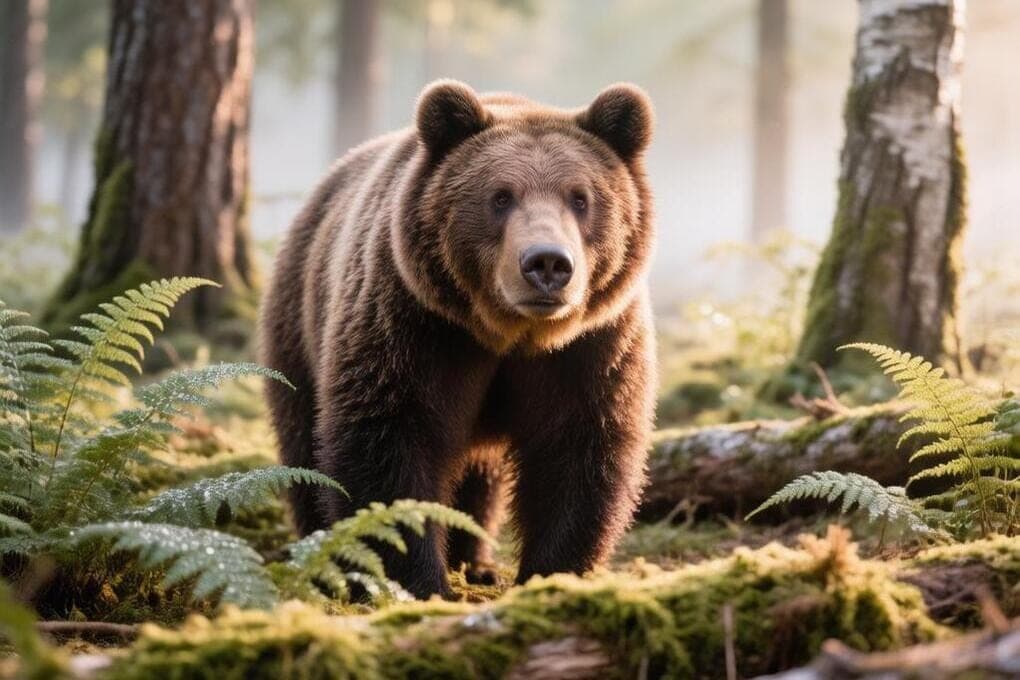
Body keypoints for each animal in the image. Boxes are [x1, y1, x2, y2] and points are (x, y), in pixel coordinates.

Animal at [259, 79, 656, 599]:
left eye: (580, 198)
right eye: (501, 196)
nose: (547, 263)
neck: (509, 335)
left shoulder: (592, 346)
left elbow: (580, 450)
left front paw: (549, 572)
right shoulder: (415, 326)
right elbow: (388, 444)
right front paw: (420, 583)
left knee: (478, 474)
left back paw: (477, 562)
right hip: (299, 326)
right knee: (304, 447)